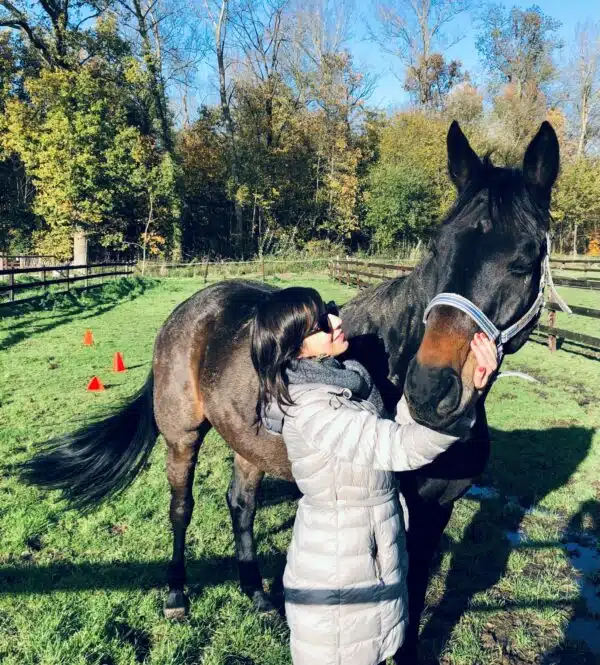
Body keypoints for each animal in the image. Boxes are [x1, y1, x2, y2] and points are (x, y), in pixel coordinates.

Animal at [20, 120, 560, 662]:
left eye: (523, 261)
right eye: (437, 249)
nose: (428, 390)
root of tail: (187, 311)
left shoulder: (436, 511)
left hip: (248, 442)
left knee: (241, 503)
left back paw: (257, 594)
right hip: (182, 437)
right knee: (181, 507)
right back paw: (176, 594)